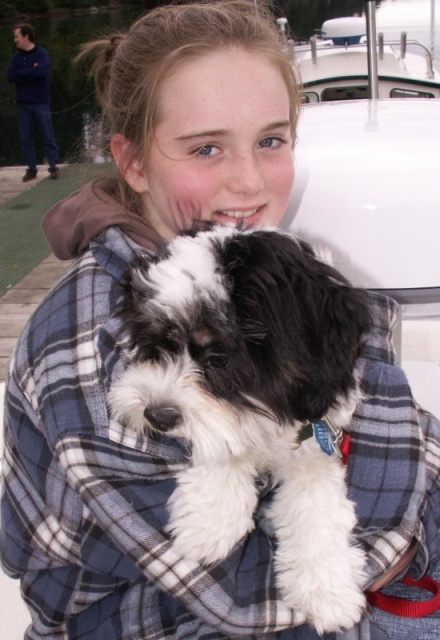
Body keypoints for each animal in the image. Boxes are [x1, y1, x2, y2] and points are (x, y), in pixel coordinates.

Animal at [109, 222, 372, 632]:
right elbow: (223, 441)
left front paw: (326, 588)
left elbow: (316, 497)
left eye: (219, 359)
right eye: (157, 345)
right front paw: (209, 523)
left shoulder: (320, 431)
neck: (265, 408)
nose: (158, 416)